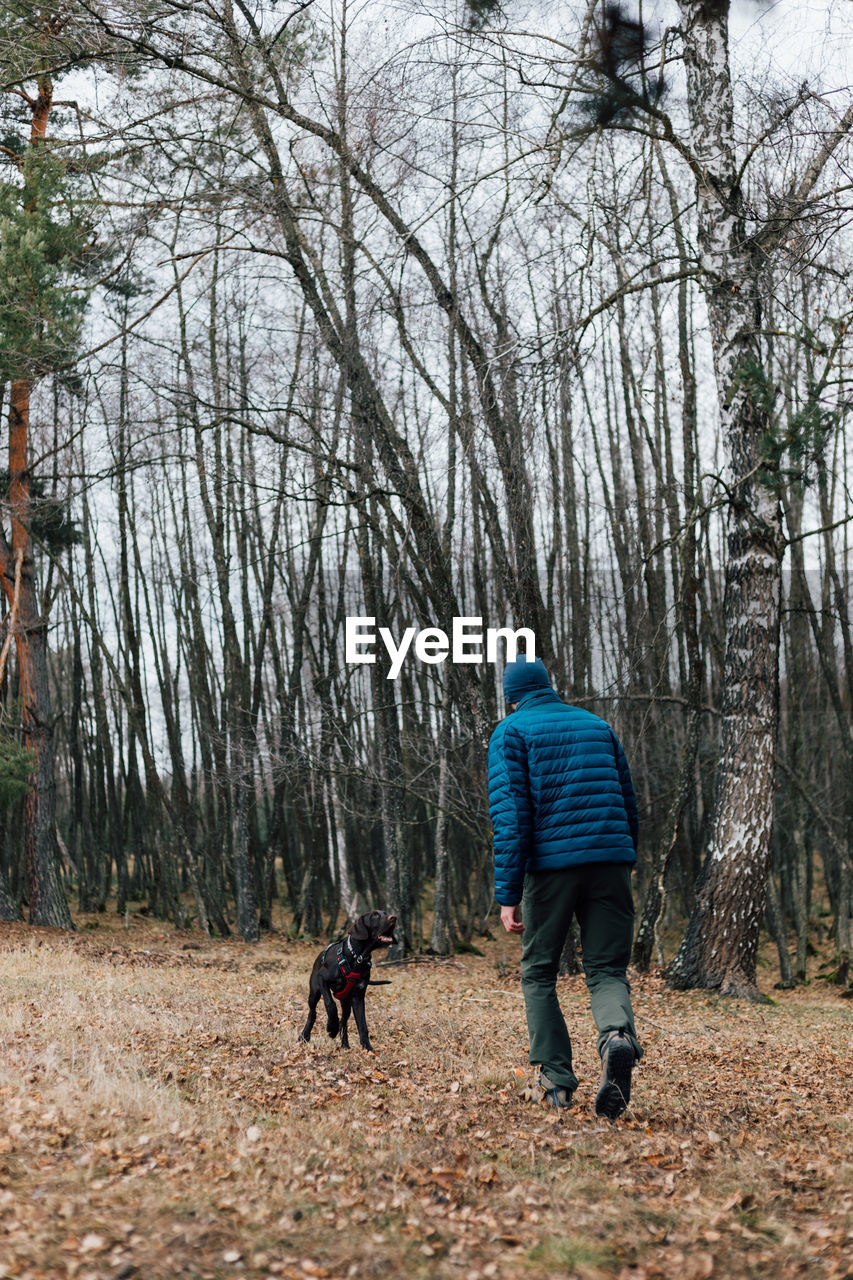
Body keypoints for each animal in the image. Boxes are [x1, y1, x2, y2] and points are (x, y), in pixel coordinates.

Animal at [298, 911, 394, 1049]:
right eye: (374, 915)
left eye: (386, 913)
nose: (394, 918)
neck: (357, 957)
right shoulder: (322, 979)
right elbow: (330, 1005)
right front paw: (331, 1027)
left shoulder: (358, 997)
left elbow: (362, 1024)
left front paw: (368, 1048)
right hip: (315, 992)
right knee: (312, 1013)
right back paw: (304, 1036)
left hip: (346, 1002)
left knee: (343, 1022)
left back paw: (345, 1045)